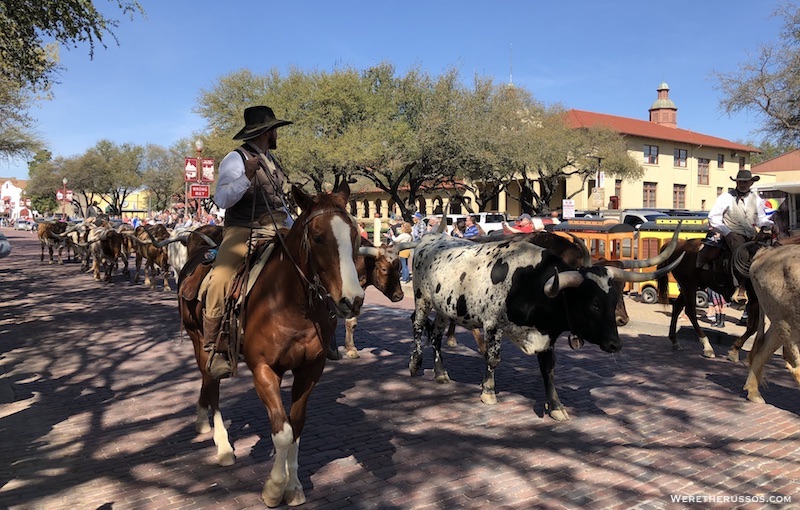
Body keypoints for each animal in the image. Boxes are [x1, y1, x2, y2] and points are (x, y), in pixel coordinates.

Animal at [179, 182, 366, 506]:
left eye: (354, 234)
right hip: (199, 340)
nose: (352, 300)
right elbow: (282, 431)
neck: (290, 302)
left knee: (208, 383)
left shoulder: (310, 370)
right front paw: (275, 487)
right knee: (211, 383)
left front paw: (295, 486)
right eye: (318, 237)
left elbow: (296, 425)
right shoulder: (265, 370)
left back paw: (203, 421)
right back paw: (222, 445)